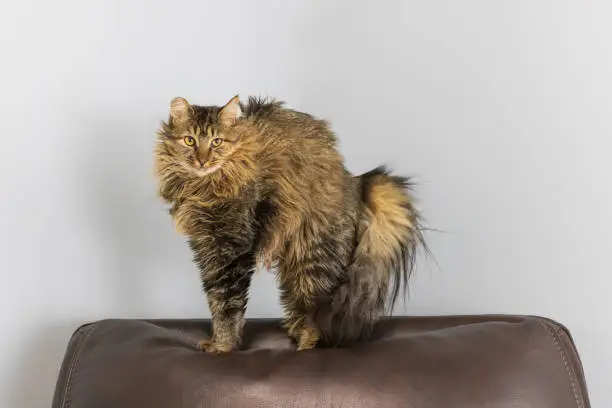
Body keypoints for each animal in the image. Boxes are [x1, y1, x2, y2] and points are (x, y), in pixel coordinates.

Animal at [153, 95, 426, 350]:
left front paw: (223, 346)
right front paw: (220, 341)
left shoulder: (232, 248)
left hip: (313, 259)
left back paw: (305, 348)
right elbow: (215, 299)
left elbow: (227, 303)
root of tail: (354, 181)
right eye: (190, 140)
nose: (202, 160)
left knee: (317, 318)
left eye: (216, 142)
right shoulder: (206, 247)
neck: (203, 187)